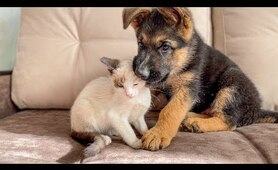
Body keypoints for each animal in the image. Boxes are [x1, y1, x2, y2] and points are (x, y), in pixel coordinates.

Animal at [122, 7, 278, 151]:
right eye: (141, 44)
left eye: (165, 46)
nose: (140, 73)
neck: (182, 60)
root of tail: (257, 109)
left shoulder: (188, 87)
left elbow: (170, 110)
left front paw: (159, 133)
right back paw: (190, 117)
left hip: (232, 81)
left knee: (229, 121)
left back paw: (197, 123)